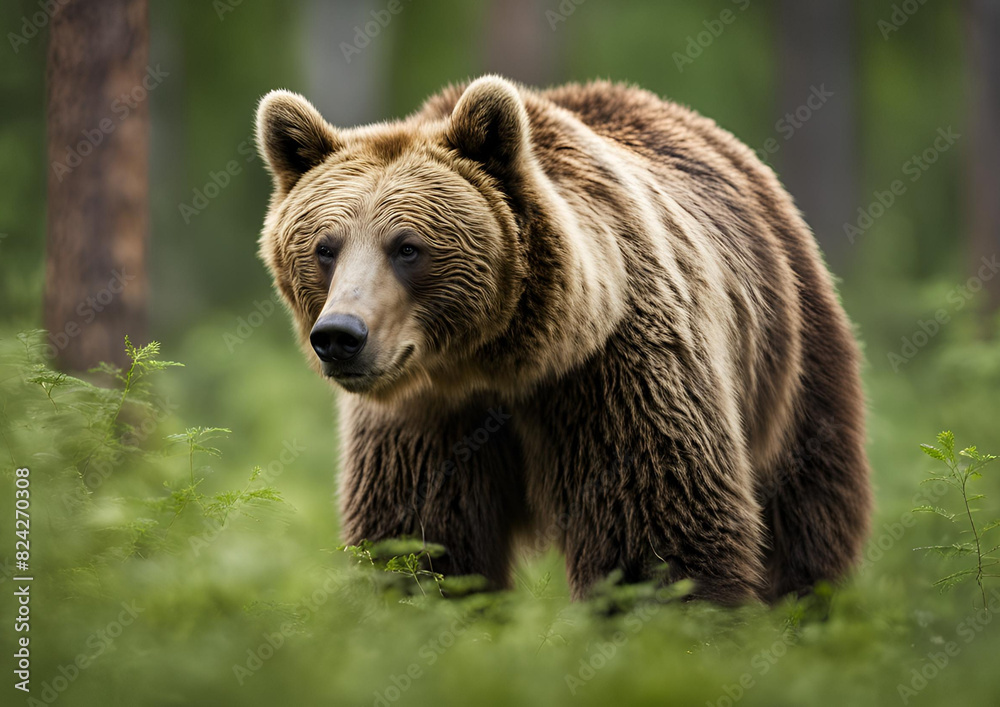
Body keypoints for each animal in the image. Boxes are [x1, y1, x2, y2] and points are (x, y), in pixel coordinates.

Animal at [254, 79, 872, 608]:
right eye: (325, 247)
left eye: (407, 247)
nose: (340, 336)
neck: (500, 362)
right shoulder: (425, 417)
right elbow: (423, 545)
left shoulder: (614, 372)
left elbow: (655, 537)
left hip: (792, 358)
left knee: (806, 516)